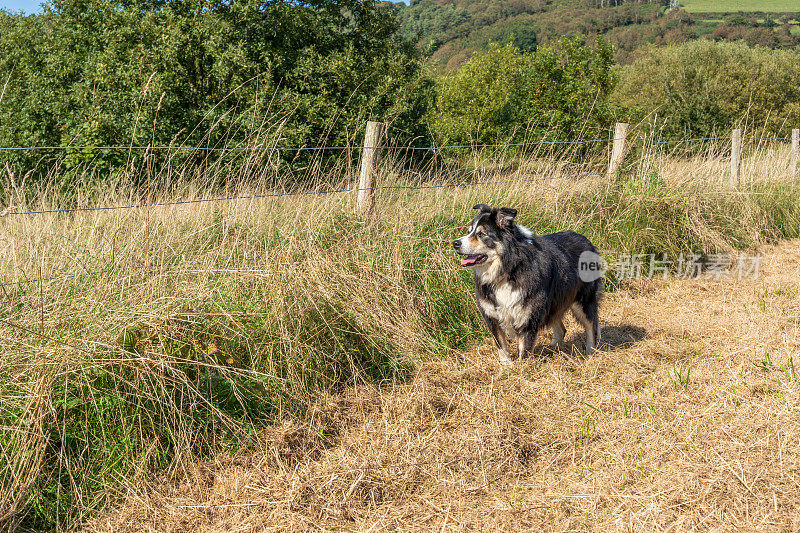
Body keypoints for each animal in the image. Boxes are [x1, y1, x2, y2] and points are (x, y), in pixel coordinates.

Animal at [454, 204, 604, 362]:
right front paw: (506, 365)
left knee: (591, 326)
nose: (455, 243)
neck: (508, 270)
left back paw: (590, 352)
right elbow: (501, 345)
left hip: (583, 300)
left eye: (482, 234)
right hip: (554, 303)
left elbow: (524, 351)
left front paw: (522, 366)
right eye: (469, 231)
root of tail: (585, 239)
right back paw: (552, 349)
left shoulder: (528, 317)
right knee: (561, 329)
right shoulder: (492, 315)